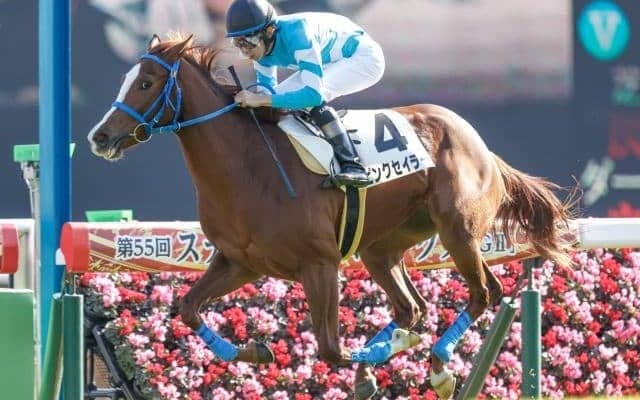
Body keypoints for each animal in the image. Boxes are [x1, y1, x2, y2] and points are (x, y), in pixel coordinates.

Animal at [87, 34, 573, 399]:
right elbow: (188, 308)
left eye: (146, 83)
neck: (247, 168)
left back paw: (436, 366)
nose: (99, 137)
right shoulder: (240, 262)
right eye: (128, 79)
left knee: (484, 293)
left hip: (458, 232)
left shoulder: (319, 263)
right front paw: (257, 351)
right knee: (411, 307)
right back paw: (390, 356)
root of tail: (480, 145)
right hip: (382, 249)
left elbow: (330, 349)